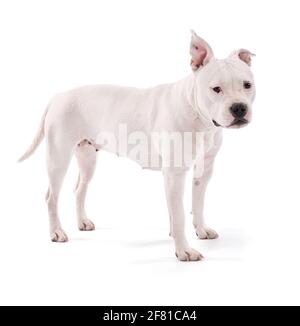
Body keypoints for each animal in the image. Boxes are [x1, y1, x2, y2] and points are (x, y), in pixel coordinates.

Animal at [18, 31, 255, 262]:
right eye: (216, 89)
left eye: (247, 85)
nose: (239, 108)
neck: (199, 117)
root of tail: (58, 96)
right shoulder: (175, 174)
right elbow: (178, 215)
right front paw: (184, 250)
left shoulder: (203, 171)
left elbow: (196, 204)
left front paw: (200, 230)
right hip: (58, 158)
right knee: (51, 196)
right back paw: (56, 232)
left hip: (87, 158)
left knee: (79, 189)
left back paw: (82, 222)